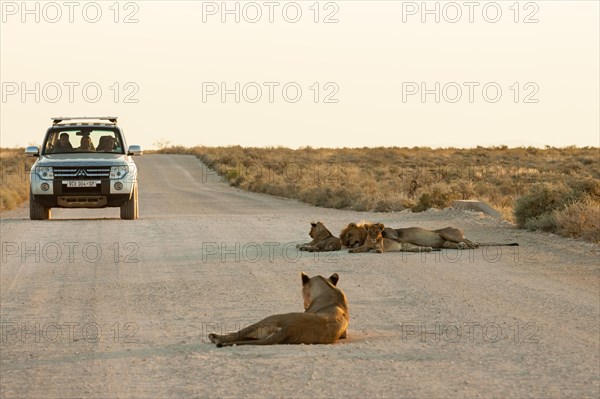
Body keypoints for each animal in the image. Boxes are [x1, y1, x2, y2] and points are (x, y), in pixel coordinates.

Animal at [207, 272, 350, 346]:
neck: (330, 288)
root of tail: (289, 328)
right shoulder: (344, 334)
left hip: (268, 319)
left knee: (238, 334)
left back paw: (215, 337)